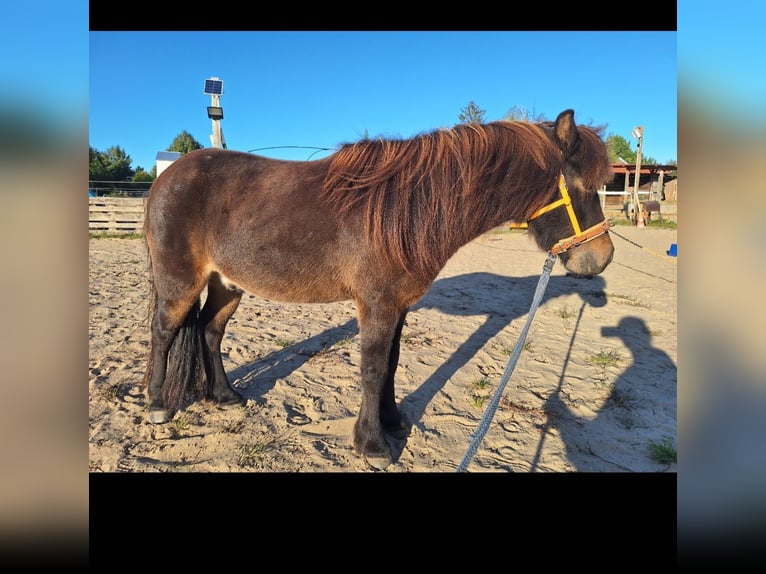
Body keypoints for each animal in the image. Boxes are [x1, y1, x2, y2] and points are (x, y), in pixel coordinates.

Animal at [142, 109, 615, 464]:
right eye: (583, 187)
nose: (602, 257)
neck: (407, 209)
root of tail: (166, 178)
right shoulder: (377, 303)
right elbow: (371, 368)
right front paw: (372, 443)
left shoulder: (399, 305)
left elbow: (391, 362)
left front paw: (392, 421)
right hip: (180, 282)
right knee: (164, 332)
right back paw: (158, 405)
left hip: (227, 284)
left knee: (209, 330)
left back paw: (224, 396)